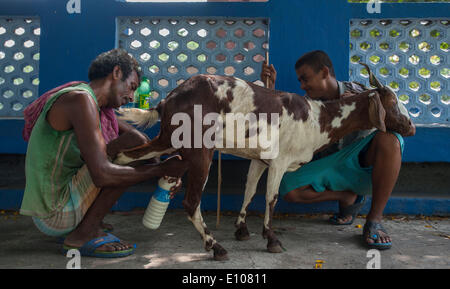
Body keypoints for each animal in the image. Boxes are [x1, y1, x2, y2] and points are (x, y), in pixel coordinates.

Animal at [113, 63, 414, 260]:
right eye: (392, 103)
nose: (410, 127)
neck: (318, 120)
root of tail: (168, 100)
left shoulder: (260, 159)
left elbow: (249, 191)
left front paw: (242, 230)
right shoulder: (280, 161)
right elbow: (271, 198)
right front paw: (271, 239)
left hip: (168, 140)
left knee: (123, 156)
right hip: (200, 151)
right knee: (191, 201)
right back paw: (215, 247)